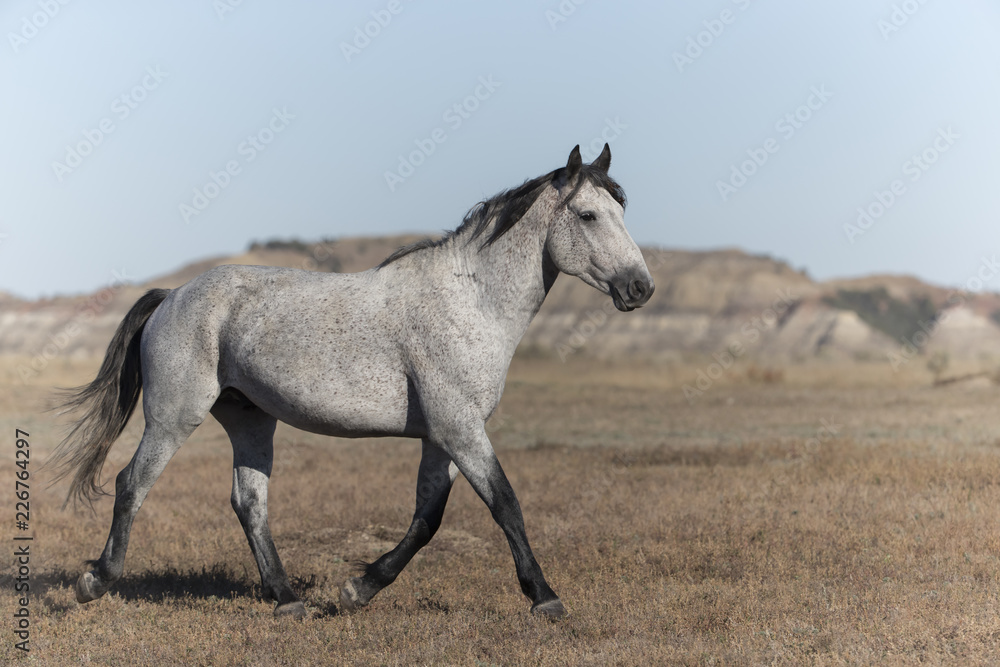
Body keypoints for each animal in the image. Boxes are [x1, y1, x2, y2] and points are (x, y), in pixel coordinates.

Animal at [50, 144, 652, 620]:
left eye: (621, 210)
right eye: (588, 215)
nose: (640, 287)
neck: (470, 300)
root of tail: (172, 295)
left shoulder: (444, 437)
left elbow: (427, 518)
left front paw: (358, 589)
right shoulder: (460, 430)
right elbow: (505, 503)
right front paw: (544, 597)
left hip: (250, 420)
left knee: (250, 503)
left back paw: (287, 599)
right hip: (175, 417)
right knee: (132, 483)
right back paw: (95, 581)